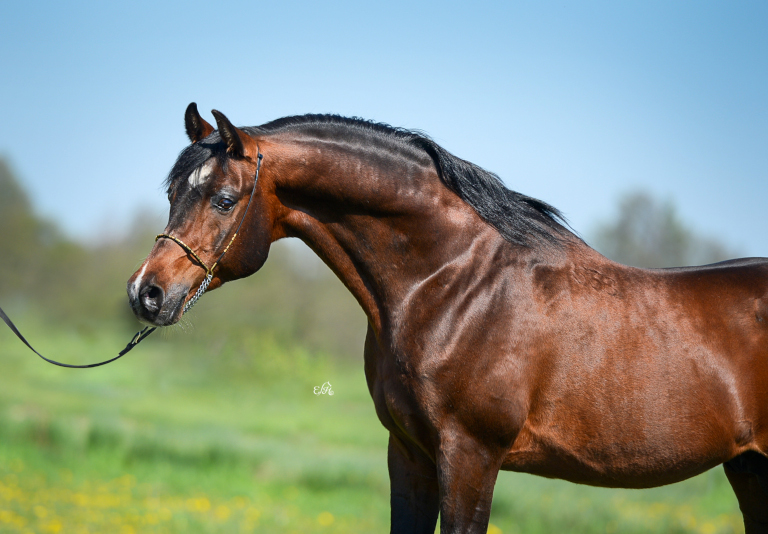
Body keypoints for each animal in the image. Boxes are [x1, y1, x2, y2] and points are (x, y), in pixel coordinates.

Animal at [129, 102, 764, 532]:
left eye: (224, 200)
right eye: (172, 194)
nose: (146, 294)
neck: (452, 286)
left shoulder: (471, 456)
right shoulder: (409, 453)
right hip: (750, 469)